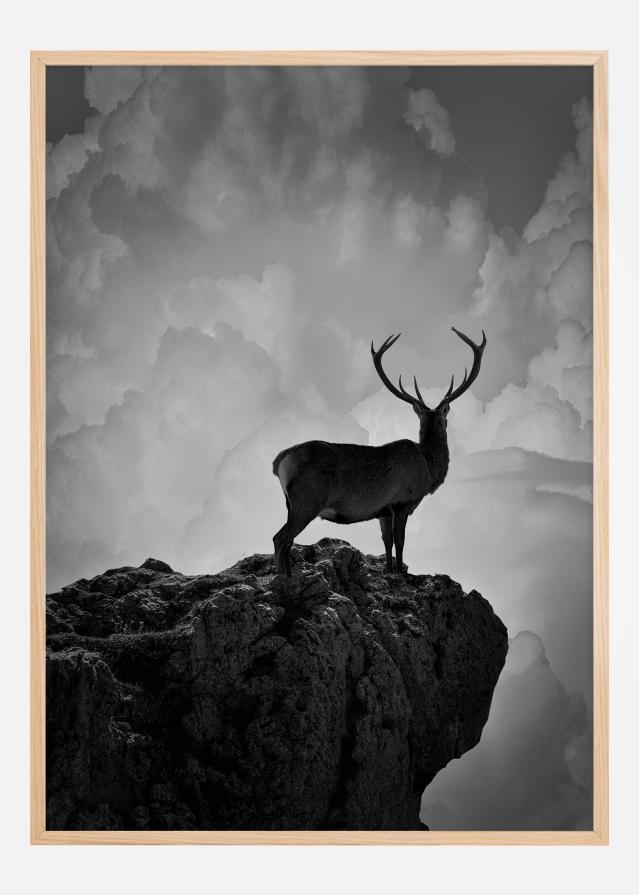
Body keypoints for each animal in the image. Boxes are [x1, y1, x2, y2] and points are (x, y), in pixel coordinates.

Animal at [272, 326, 486, 576]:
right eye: (446, 419)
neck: (428, 467)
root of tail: (279, 461)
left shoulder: (383, 511)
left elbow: (387, 543)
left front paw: (390, 570)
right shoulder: (403, 501)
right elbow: (400, 542)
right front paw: (401, 573)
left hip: (290, 503)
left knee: (286, 541)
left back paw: (287, 574)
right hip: (306, 500)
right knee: (280, 538)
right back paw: (281, 578)